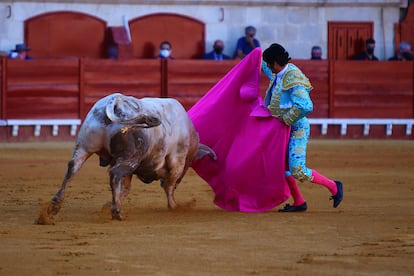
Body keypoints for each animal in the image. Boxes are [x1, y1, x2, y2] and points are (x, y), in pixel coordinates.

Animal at [38, 92, 217, 222]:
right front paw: (173, 206)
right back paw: (117, 212)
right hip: (131, 157)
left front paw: (112, 203)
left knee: (72, 168)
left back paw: (54, 207)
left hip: (84, 147)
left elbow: (125, 187)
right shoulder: (176, 161)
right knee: (115, 174)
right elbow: (169, 185)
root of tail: (116, 101)